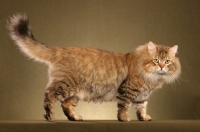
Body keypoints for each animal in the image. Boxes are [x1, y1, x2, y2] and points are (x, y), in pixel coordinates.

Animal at [7, 13, 181, 121]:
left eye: (167, 61)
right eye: (156, 60)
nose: (161, 67)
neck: (152, 77)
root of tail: (62, 49)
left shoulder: (142, 95)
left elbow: (142, 108)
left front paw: (143, 118)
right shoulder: (127, 90)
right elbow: (124, 106)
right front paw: (124, 118)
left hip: (75, 91)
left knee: (66, 104)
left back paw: (75, 118)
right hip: (65, 85)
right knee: (49, 96)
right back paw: (50, 117)